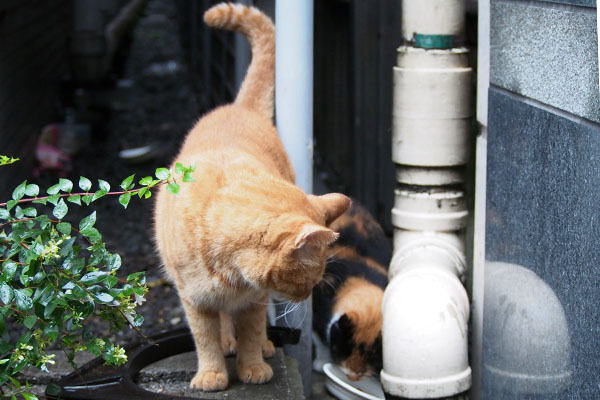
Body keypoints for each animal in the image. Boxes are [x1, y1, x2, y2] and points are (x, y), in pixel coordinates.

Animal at [154, 2, 352, 390]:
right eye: (307, 278)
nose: (307, 295)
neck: (229, 273)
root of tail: (240, 107)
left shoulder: (254, 299)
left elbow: (251, 330)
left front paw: (254, 366)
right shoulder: (194, 300)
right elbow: (205, 338)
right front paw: (212, 373)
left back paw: (262, 346)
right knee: (222, 324)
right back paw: (226, 341)